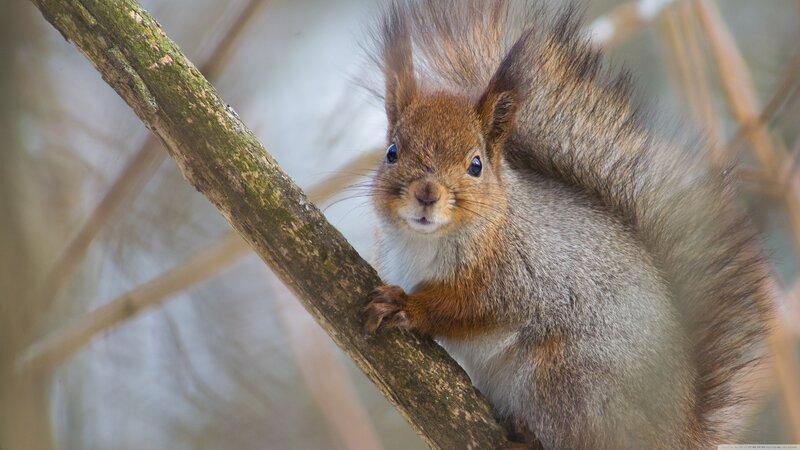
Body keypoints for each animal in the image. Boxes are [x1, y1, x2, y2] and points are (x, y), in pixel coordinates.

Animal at [361, 1, 775, 449]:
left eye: (476, 165)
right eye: (392, 152)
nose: (426, 194)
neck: (429, 241)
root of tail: (675, 434)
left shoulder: (519, 276)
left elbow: (468, 309)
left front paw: (408, 306)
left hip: (565, 378)